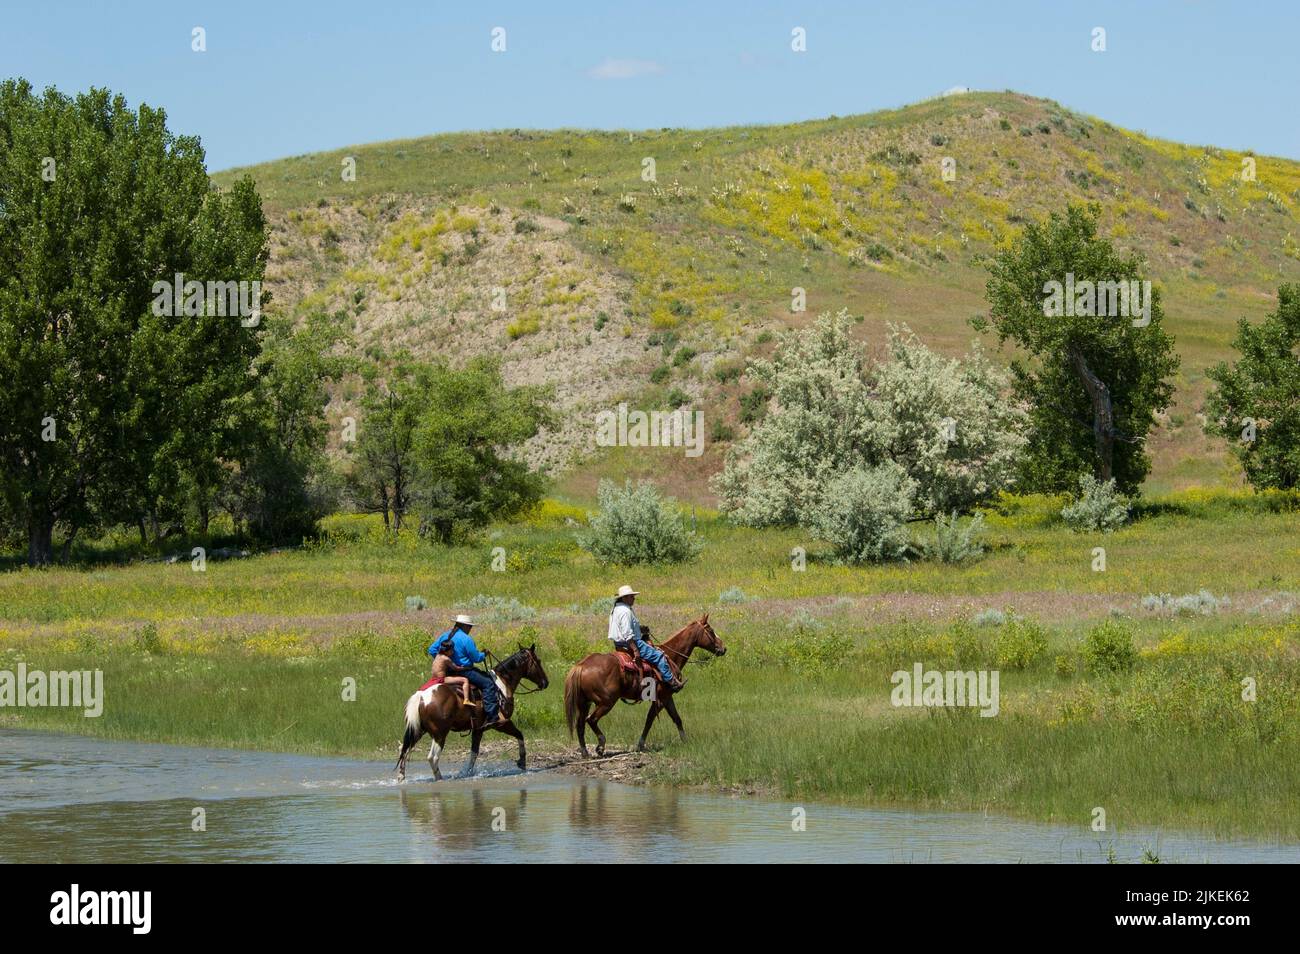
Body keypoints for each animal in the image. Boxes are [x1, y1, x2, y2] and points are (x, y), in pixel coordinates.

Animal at [390, 642, 543, 785]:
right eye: (539, 661)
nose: (545, 682)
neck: (502, 684)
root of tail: (421, 696)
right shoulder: (502, 723)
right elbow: (520, 735)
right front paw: (522, 761)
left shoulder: (478, 729)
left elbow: (474, 753)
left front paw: (467, 773)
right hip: (440, 734)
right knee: (432, 757)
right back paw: (439, 778)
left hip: (418, 730)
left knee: (404, 750)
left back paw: (401, 777)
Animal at [561, 613, 728, 764]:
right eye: (711, 630)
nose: (723, 648)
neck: (670, 656)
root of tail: (581, 666)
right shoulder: (662, 698)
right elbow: (651, 719)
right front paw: (641, 744)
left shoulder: (667, 698)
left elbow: (676, 718)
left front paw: (685, 741)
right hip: (606, 702)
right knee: (591, 720)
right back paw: (600, 746)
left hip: (584, 703)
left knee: (580, 724)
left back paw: (585, 752)